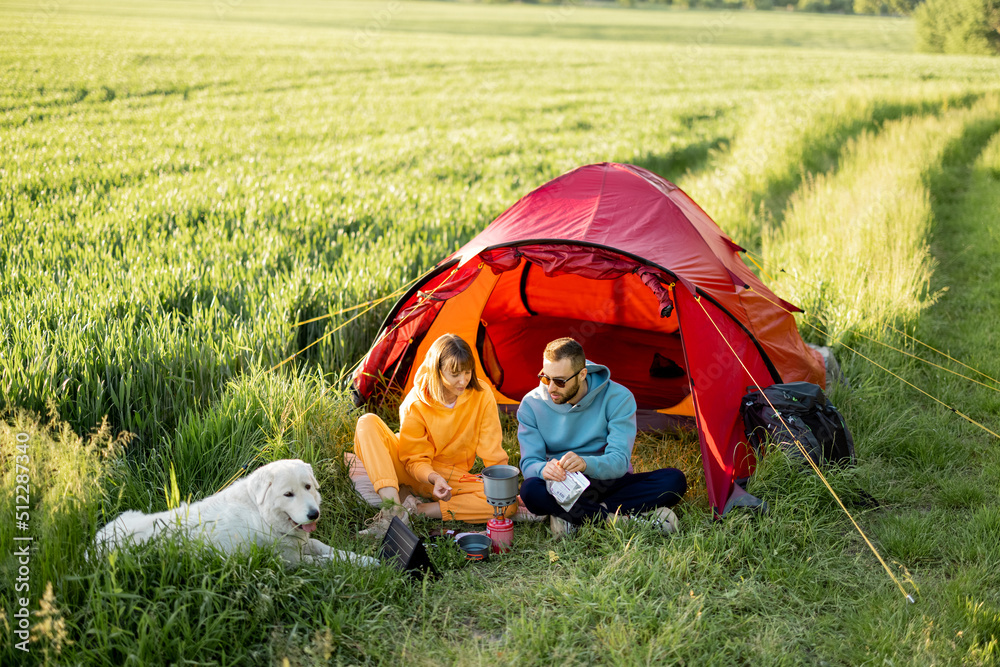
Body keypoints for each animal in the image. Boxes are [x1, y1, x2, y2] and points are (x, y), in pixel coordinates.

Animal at [94, 460, 378, 568]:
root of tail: (94, 546)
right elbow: (328, 560)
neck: (260, 511)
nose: (313, 514)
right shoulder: (289, 560)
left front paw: (367, 560)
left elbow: (328, 548)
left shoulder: (301, 542)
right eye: (288, 494)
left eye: (308, 487)